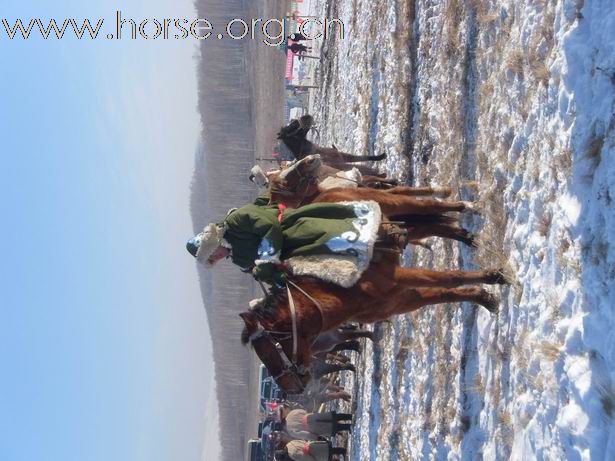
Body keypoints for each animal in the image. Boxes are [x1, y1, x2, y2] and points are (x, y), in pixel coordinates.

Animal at [238, 252, 508, 392]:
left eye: (276, 341)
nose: (290, 385)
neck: (341, 292)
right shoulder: (400, 300)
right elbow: (444, 293)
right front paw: (484, 298)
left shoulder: (399, 281)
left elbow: (450, 278)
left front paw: (494, 278)